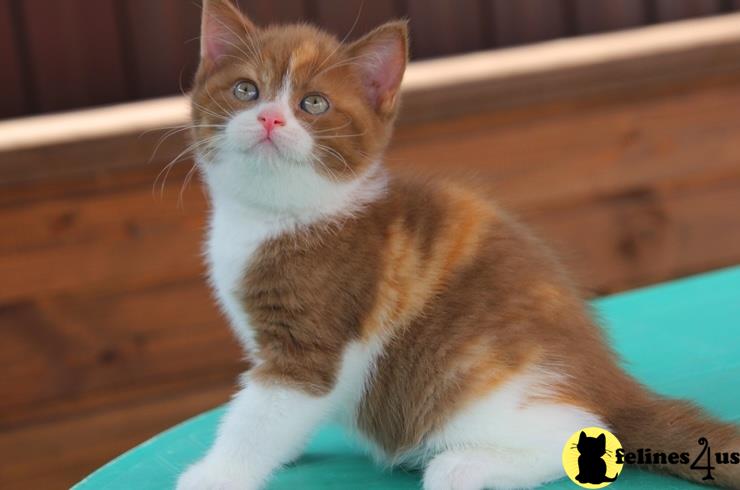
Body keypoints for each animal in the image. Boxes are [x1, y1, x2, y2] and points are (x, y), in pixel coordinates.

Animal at [179, 0, 740, 490]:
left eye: (313, 103)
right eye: (246, 90)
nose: (271, 118)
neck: (277, 215)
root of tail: (609, 382)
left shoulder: (310, 340)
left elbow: (263, 413)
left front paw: (215, 475)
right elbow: (274, 414)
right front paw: (281, 454)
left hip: (477, 386)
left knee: (590, 430)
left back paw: (464, 466)